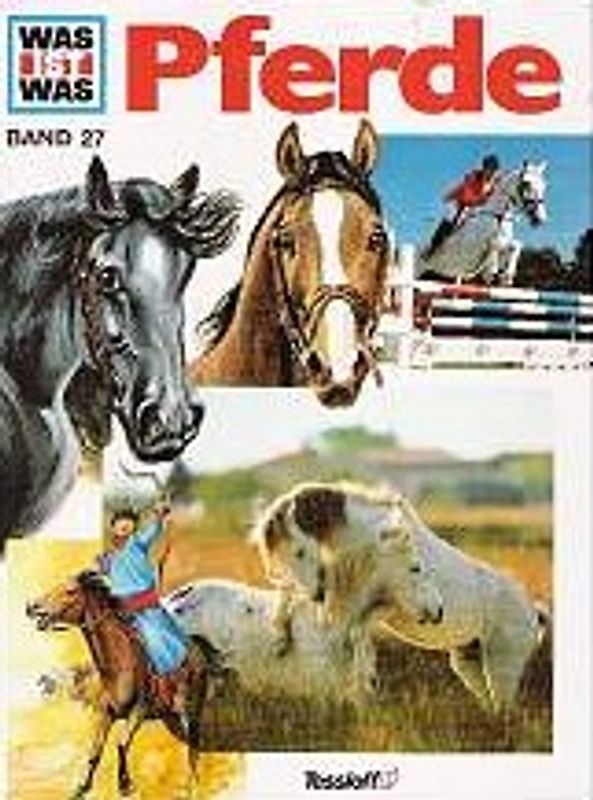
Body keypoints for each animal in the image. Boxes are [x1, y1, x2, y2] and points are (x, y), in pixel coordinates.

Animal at [26, 570, 215, 799]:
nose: (31, 606)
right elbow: (95, 750)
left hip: (190, 711)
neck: (119, 665)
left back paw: (191, 787)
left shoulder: (139, 712)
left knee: (194, 746)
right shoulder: (105, 713)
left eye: (70, 591)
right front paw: (81, 787)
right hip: (171, 714)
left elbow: (121, 744)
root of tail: (197, 651)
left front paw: (125, 785)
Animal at [252, 481, 549, 713]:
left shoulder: (371, 601)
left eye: (300, 550)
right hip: (470, 662)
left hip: (502, 665)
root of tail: (533, 610)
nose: (317, 592)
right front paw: (280, 639)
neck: (370, 533)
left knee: (504, 706)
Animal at [415, 161, 548, 285]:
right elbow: (494, 245)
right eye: (526, 183)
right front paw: (491, 271)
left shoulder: (505, 242)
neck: (497, 217)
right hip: (418, 268)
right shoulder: (473, 246)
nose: (540, 219)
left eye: (544, 186)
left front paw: (507, 276)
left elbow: (517, 245)